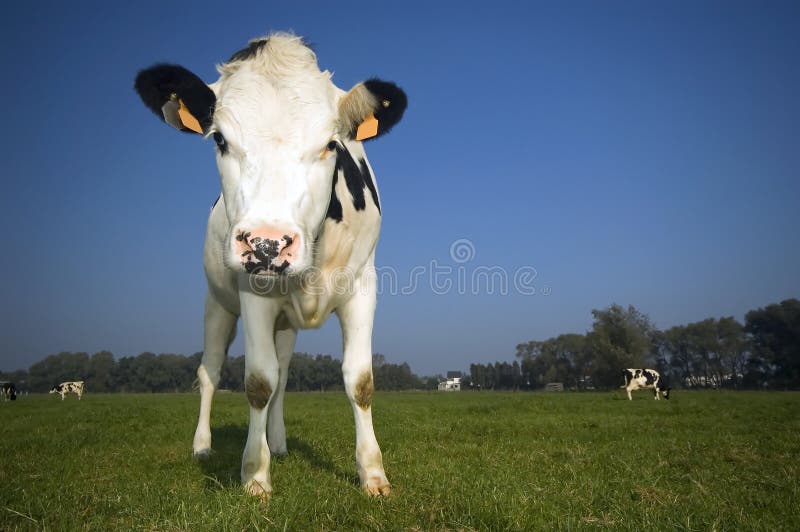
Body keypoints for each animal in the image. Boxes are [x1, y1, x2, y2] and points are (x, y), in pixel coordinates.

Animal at [134, 33, 406, 498]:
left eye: (331, 144)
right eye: (219, 140)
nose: (267, 244)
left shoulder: (363, 286)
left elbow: (359, 381)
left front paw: (373, 475)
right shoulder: (252, 291)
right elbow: (258, 381)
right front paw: (255, 476)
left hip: (286, 325)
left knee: (282, 374)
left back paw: (276, 443)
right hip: (217, 304)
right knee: (210, 372)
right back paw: (203, 445)